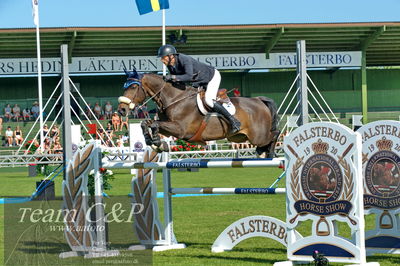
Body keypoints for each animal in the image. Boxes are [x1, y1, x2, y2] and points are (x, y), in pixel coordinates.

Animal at [119, 69, 280, 158]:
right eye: (125, 86)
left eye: (133, 87)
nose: (121, 110)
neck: (174, 99)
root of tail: (258, 100)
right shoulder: (170, 128)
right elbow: (147, 123)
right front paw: (154, 143)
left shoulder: (180, 130)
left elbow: (154, 124)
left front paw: (157, 143)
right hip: (240, 137)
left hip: (258, 136)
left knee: (275, 134)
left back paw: (270, 153)